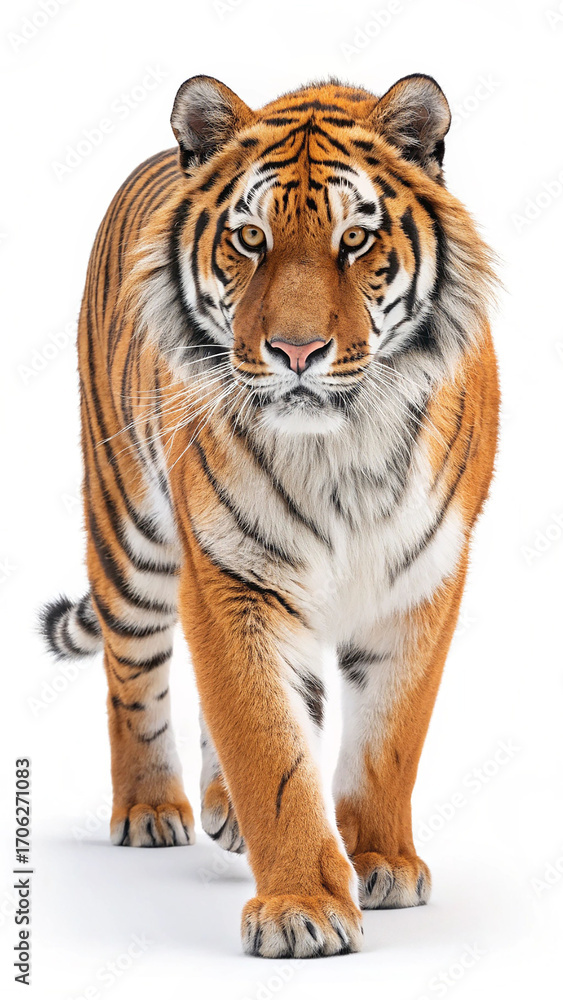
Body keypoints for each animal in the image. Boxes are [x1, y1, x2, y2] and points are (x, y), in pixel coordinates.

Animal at [40, 73, 499, 958]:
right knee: (131, 674)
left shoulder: (420, 577)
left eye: (355, 240)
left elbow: (389, 736)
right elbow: (268, 745)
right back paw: (151, 809)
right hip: (131, 535)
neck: (340, 446)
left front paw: (380, 861)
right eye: (250, 238)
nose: (294, 353)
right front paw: (301, 907)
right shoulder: (231, 576)